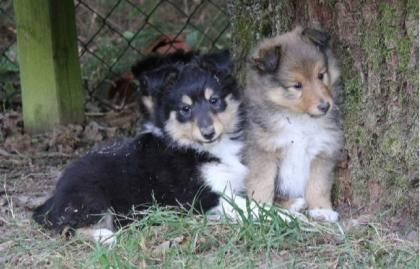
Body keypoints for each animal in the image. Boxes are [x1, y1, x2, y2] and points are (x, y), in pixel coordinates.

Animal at [33, 50, 249, 245]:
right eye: (185, 109)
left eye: (214, 100)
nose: (208, 133)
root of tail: (55, 197)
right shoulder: (200, 196)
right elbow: (241, 205)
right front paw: (258, 213)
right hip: (90, 197)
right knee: (69, 229)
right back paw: (105, 236)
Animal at [244, 26, 342, 221]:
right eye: (297, 85)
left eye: (321, 75)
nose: (325, 106)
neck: (298, 118)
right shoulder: (263, 149)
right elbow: (261, 182)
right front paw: (260, 209)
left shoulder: (323, 149)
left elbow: (319, 184)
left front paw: (322, 209)